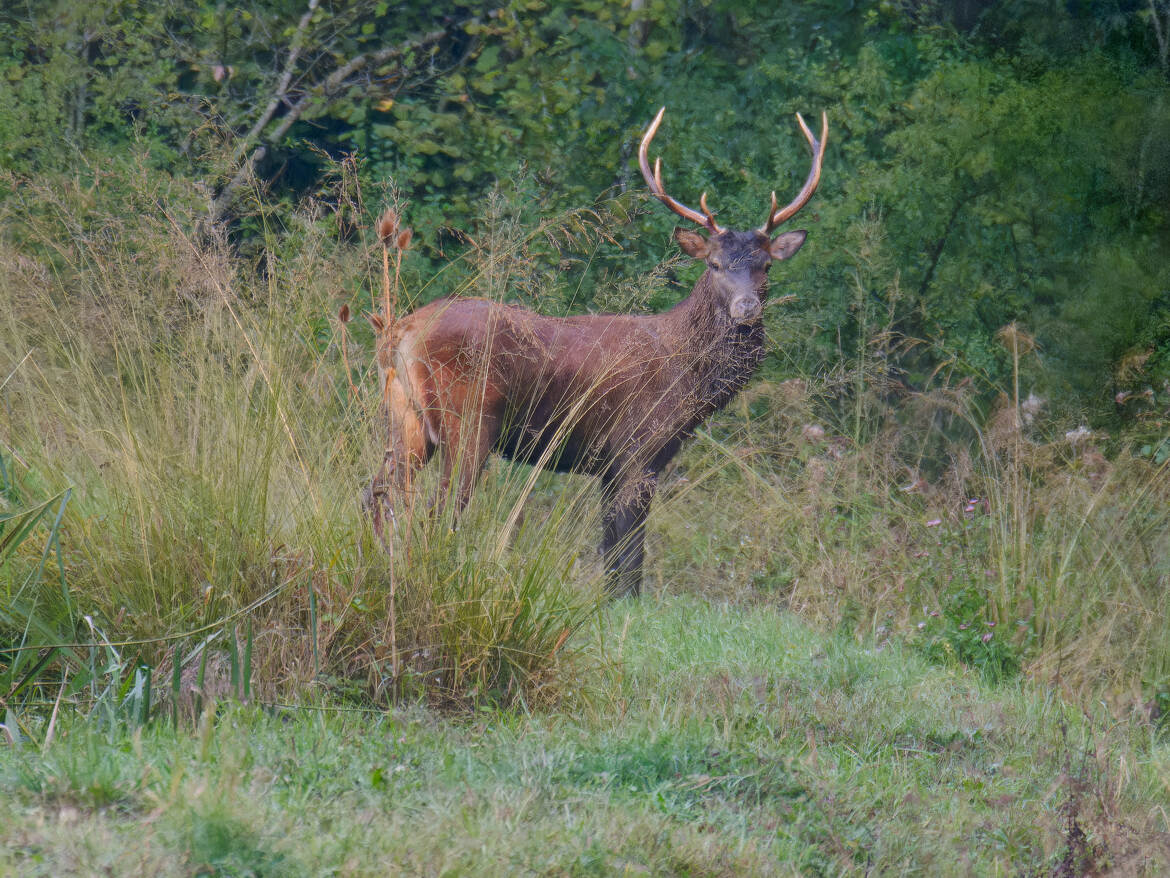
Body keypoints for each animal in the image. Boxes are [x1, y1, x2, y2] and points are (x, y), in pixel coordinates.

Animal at [360, 106, 828, 594]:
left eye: (766, 265)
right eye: (715, 264)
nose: (746, 307)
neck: (689, 379)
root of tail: (399, 334)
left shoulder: (608, 464)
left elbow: (610, 553)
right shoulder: (638, 448)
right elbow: (630, 554)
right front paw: (628, 602)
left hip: (404, 418)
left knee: (378, 492)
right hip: (468, 419)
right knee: (438, 510)